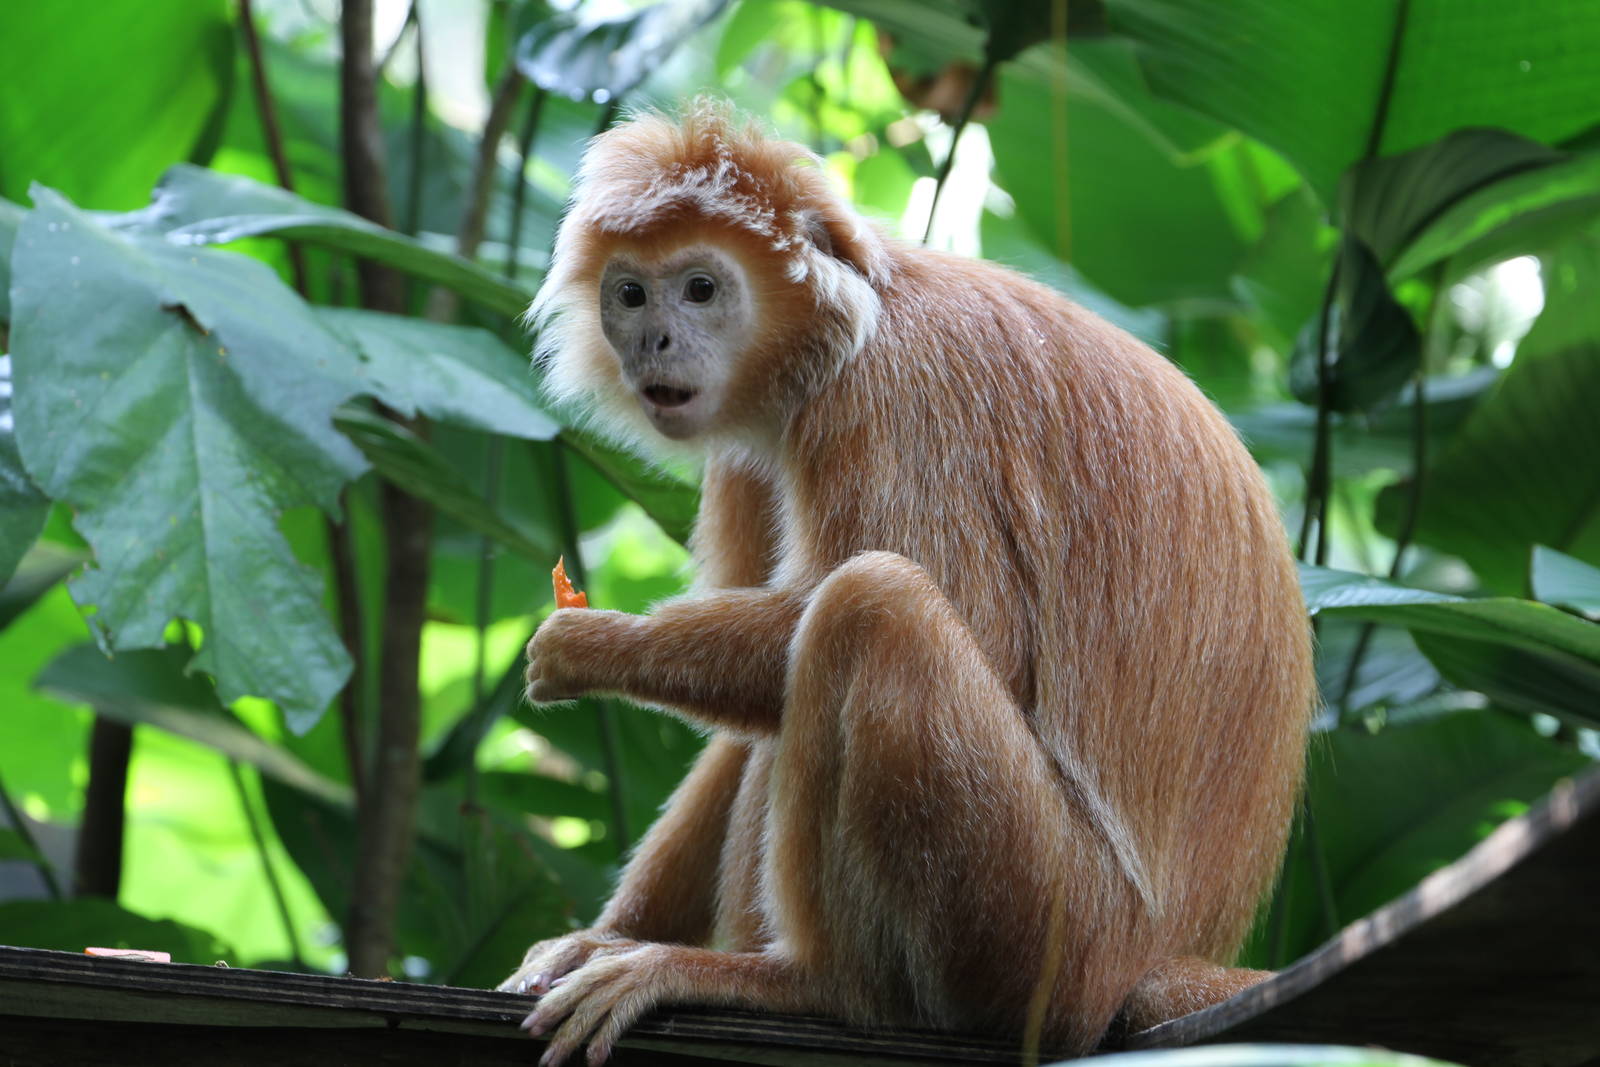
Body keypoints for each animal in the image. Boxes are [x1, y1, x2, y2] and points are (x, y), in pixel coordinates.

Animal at [498, 100, 1313, 1065]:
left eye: (699, 289)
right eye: (631, 295)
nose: (654, 338)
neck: (849, 330)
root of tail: (1151, 958)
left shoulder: (894, 402)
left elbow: (976, 627)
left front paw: (595, 645)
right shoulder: (747, 451)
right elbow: (744, 720)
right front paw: (599, 937)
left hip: (1050, 929)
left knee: (869, 605)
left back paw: (802, 983)